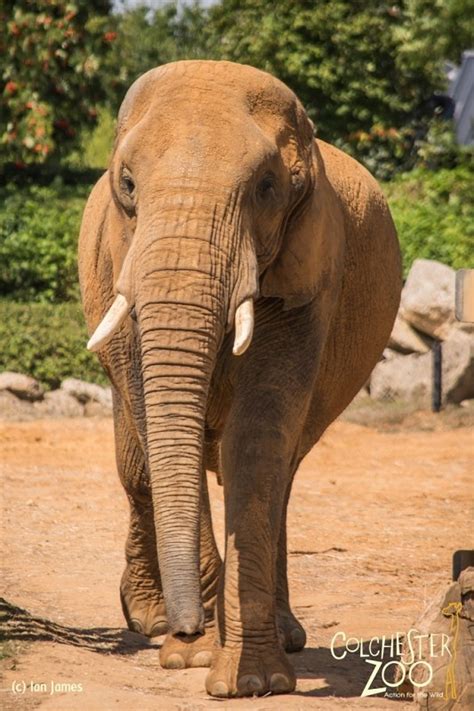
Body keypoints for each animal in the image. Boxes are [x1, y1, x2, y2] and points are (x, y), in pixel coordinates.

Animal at [78, 59, 400, 696]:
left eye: (267, 189)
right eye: (127, 186)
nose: (189, 627)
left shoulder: (309, 272)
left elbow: (257, 438)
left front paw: (252, 681)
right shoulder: (120, 259)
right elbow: (154, 419)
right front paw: (193, 655)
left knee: (282, 471)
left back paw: (284, 634)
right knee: (135, 462)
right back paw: (150, 619)